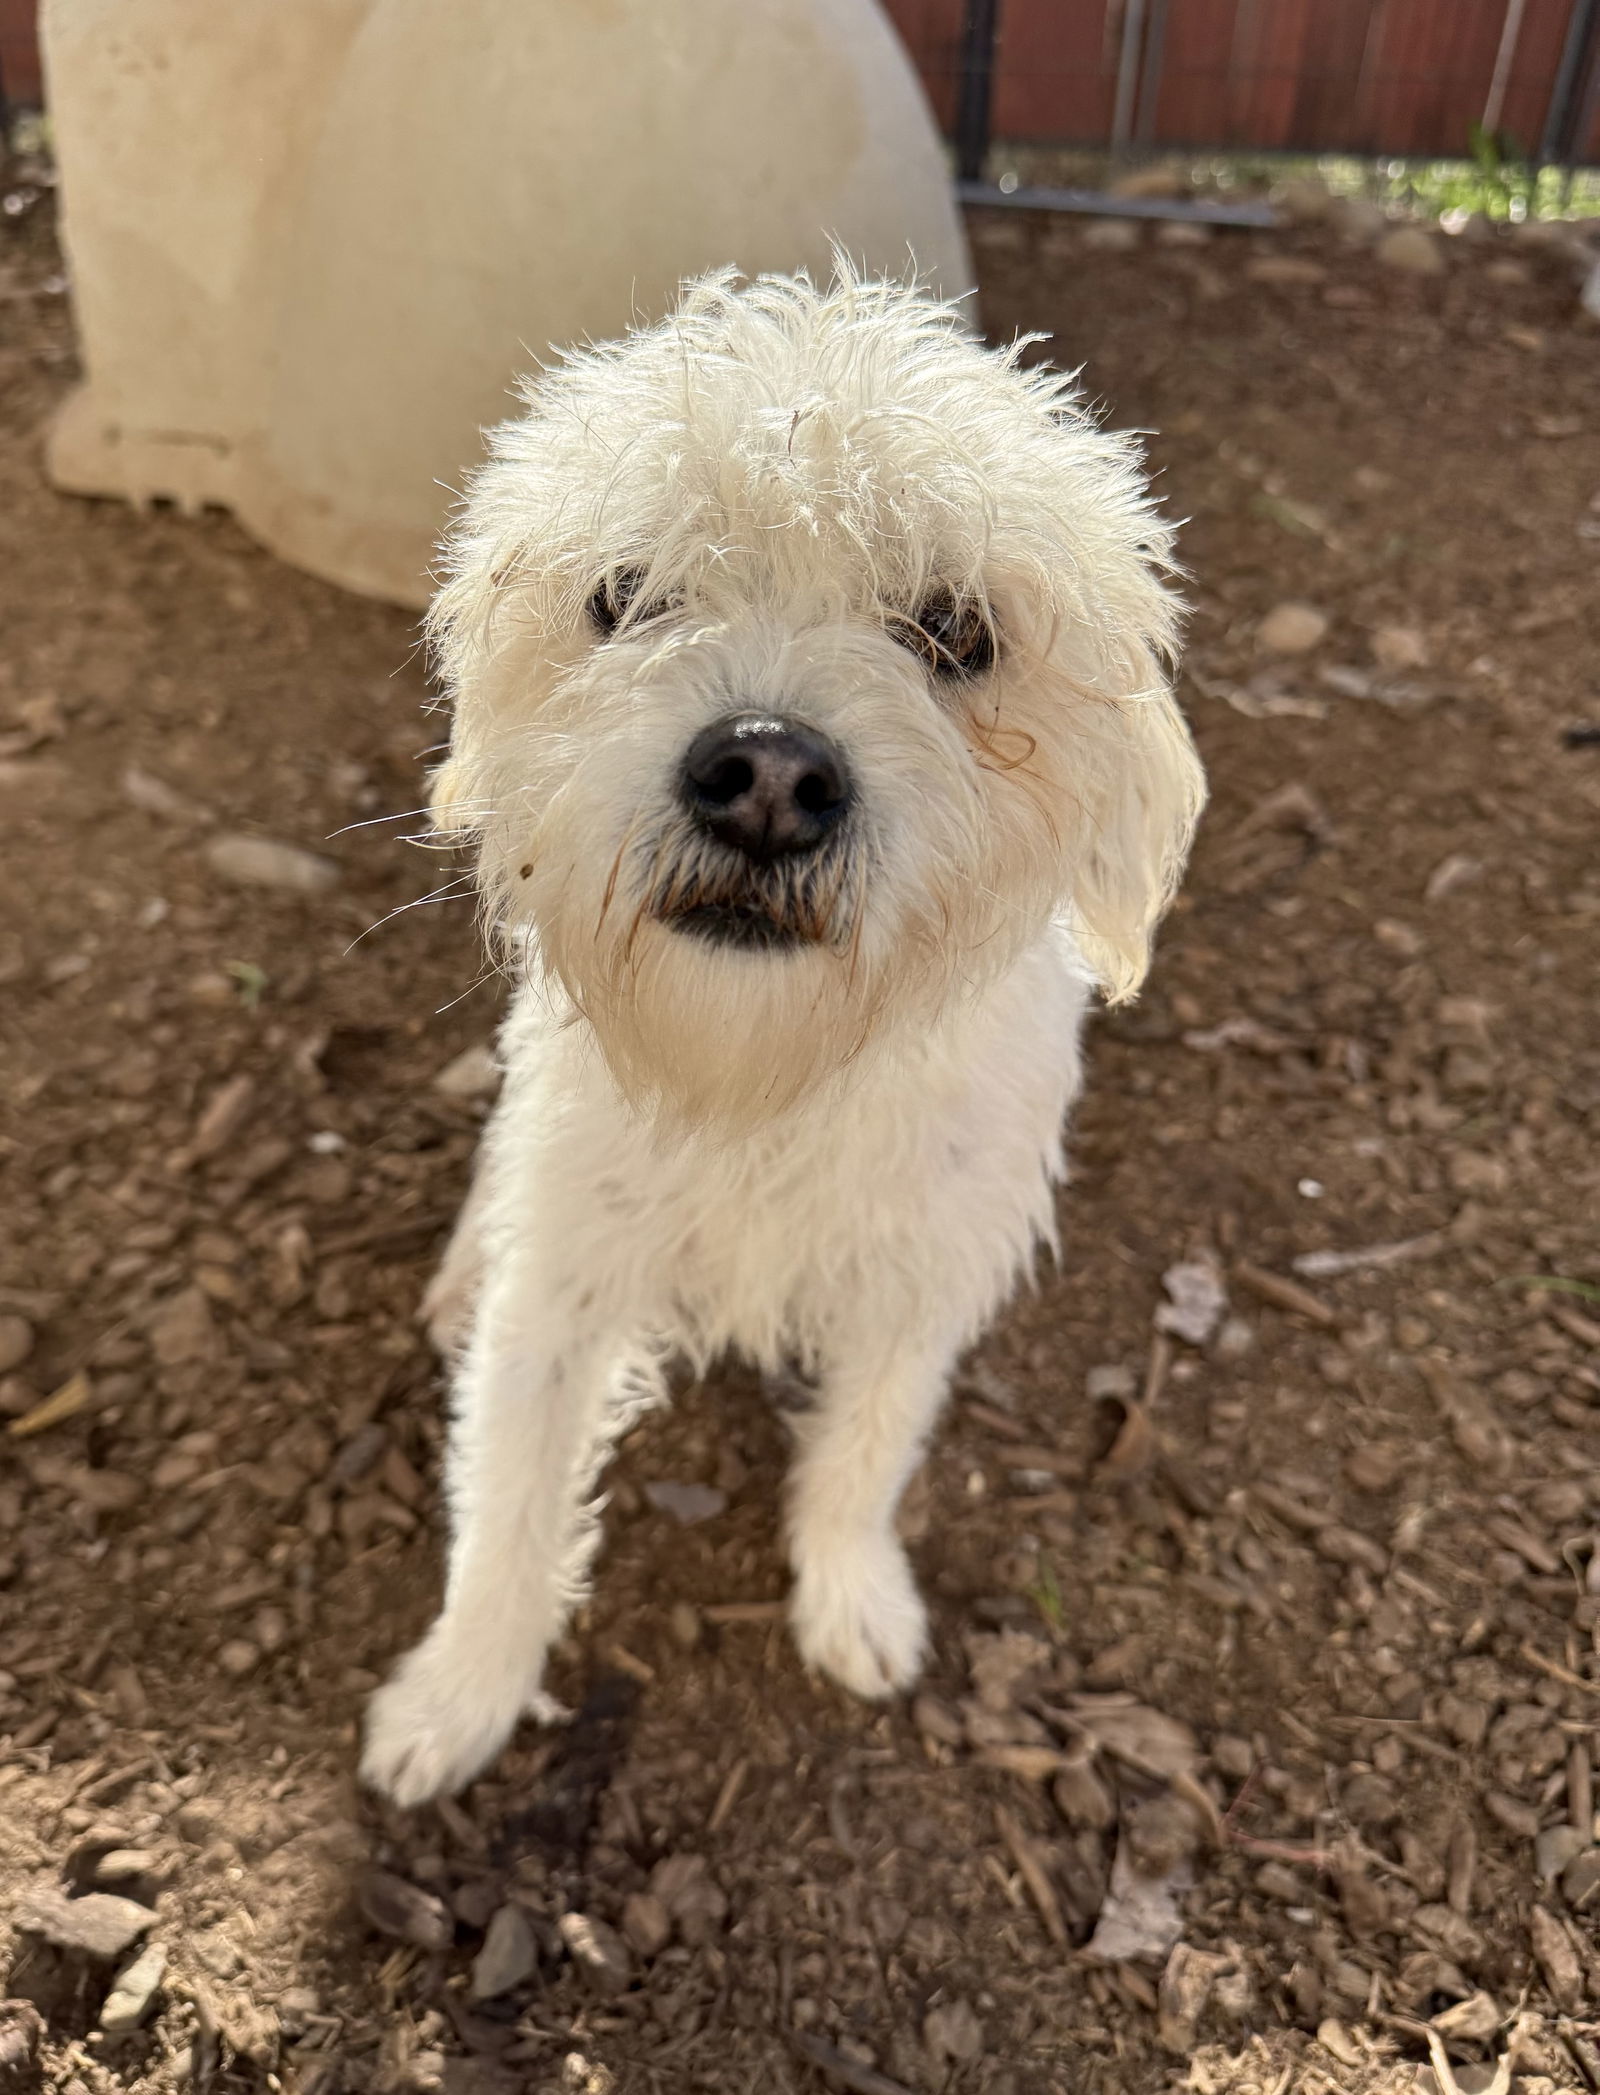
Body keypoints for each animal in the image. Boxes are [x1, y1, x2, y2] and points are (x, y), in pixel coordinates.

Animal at [362, 266, 1206, 1801]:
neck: (770, 1074)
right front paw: (458, 1695)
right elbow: (510, 1495)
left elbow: (865, 1452)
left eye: (955, 629)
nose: (764, 773)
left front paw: (851, 1598)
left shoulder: (921, 1277)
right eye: (624, 595)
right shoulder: (564, 1284)